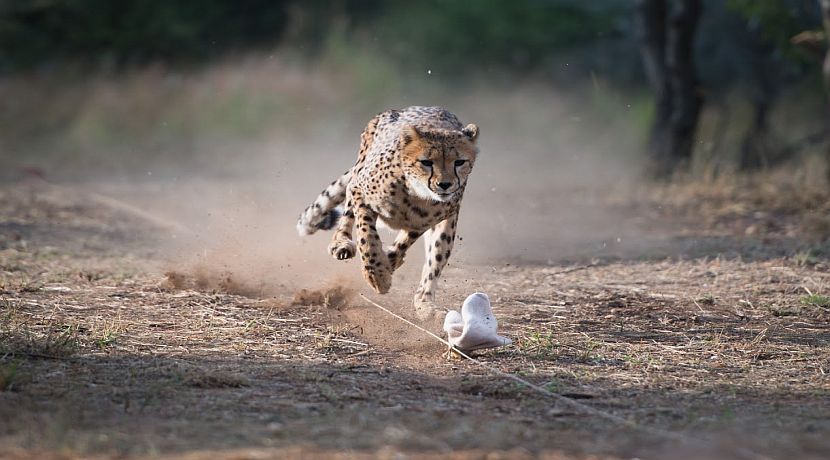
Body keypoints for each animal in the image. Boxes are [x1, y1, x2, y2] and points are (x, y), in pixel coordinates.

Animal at [296, 106, 479, 321]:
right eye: (427, 162)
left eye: (459, 162)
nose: (445, 184)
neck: (416, 193)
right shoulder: (360, 192)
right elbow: (367, 236)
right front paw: (378, 275)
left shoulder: (427, 221)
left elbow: (403, 244)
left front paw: (388, 266)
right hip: (356, 178)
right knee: (346, 219)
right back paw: (341, 244)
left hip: (446, 229)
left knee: (433, 262)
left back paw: (425, 304)